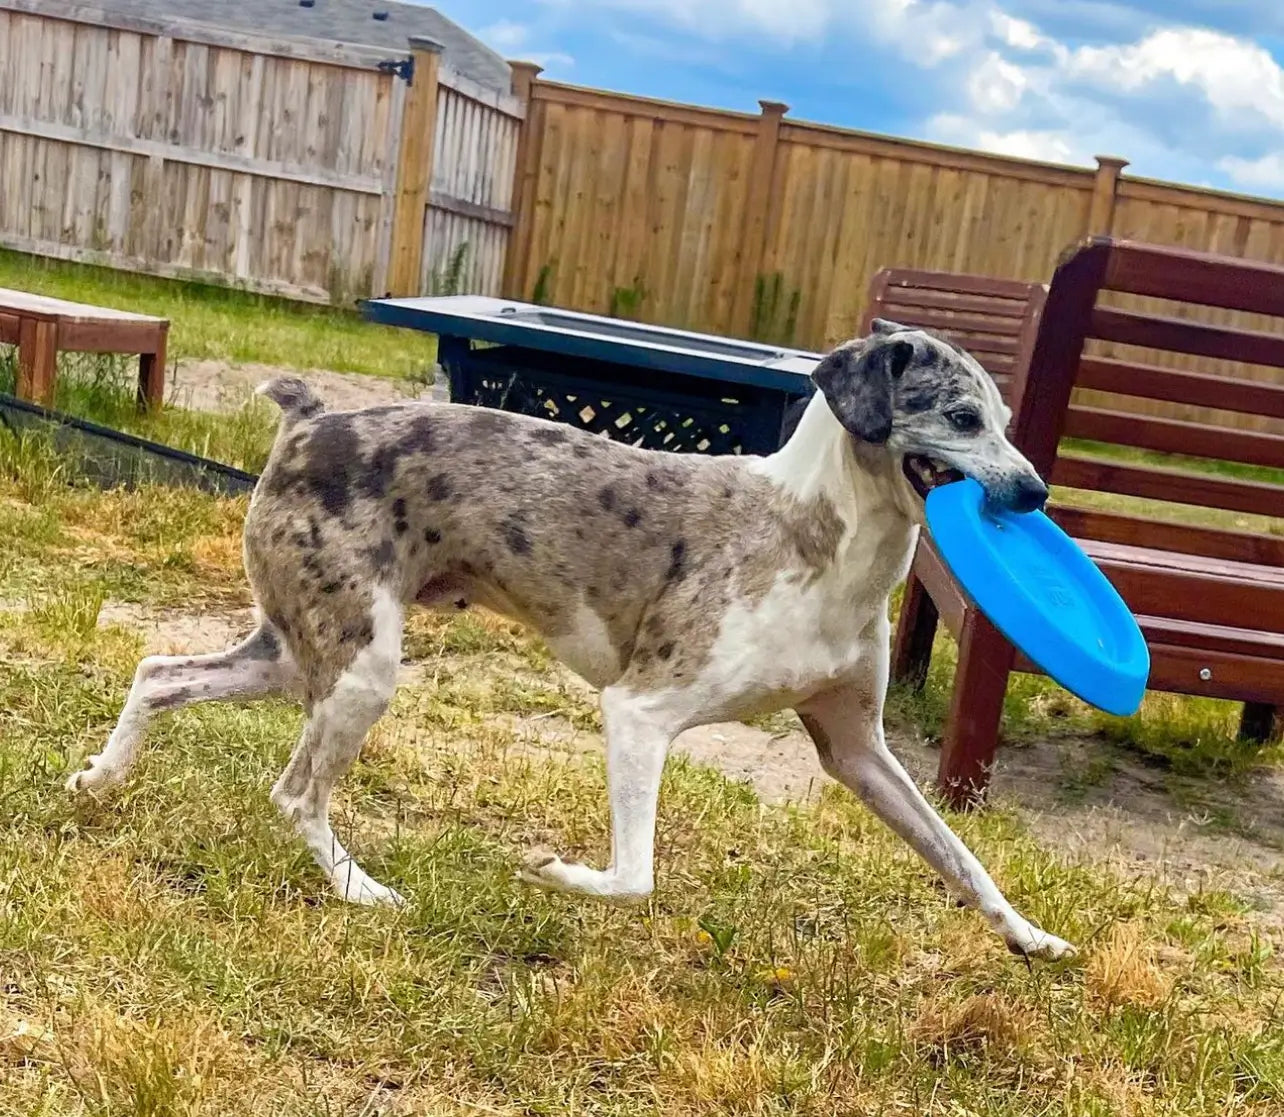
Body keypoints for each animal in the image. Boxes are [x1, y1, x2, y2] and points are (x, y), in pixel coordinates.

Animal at [70, 320, 1073, 960]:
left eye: (1008, 423)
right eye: (960, 418)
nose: (1034, 495)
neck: (815, 535)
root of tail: (312, 416)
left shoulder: (858, 750)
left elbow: (964, 859)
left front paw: (1033, 937)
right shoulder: (640, 713)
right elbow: (633, 877)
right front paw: (553, 869)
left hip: (298, 653)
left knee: (160, 669)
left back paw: (98, 779)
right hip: (360, 669)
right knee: (292, 793)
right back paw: (362, 890)